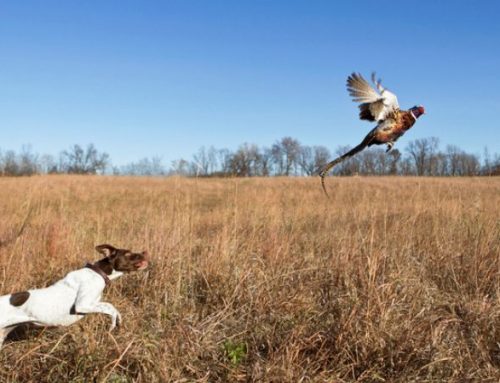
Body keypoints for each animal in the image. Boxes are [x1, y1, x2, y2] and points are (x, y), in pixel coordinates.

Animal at [0, 244, 148, 350]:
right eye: (128, 253)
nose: (145, 252)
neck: (98, 273)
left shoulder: (92, 304)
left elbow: (111, 307)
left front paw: (118, 320)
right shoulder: (82, 305)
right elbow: (110, 307)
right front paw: (113, 324)